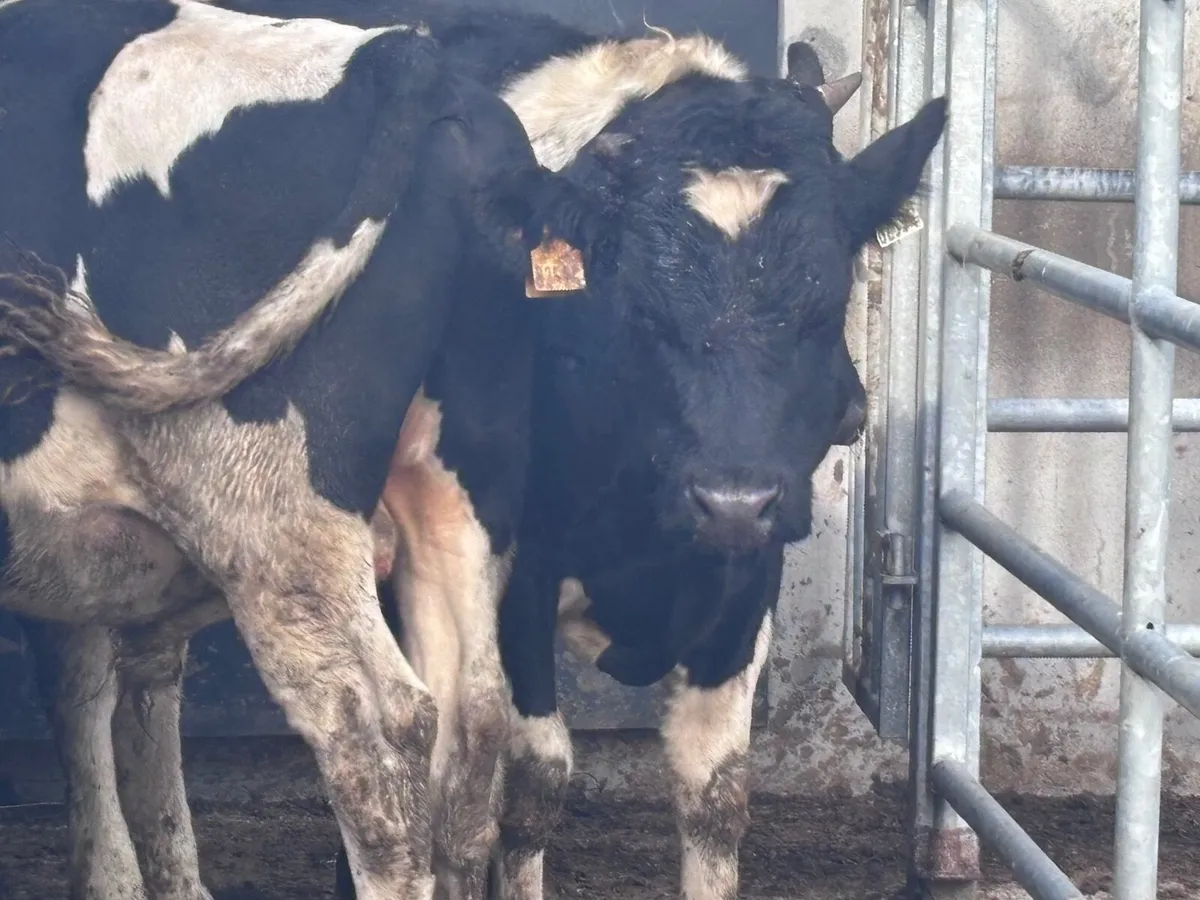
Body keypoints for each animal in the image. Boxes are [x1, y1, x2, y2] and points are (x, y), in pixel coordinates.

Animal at [0, 2, 603, 900]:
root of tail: (405, 58)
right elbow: (107, 696)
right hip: (460, 480)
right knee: (473, 723)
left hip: (271, 514)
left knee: (376, 731)